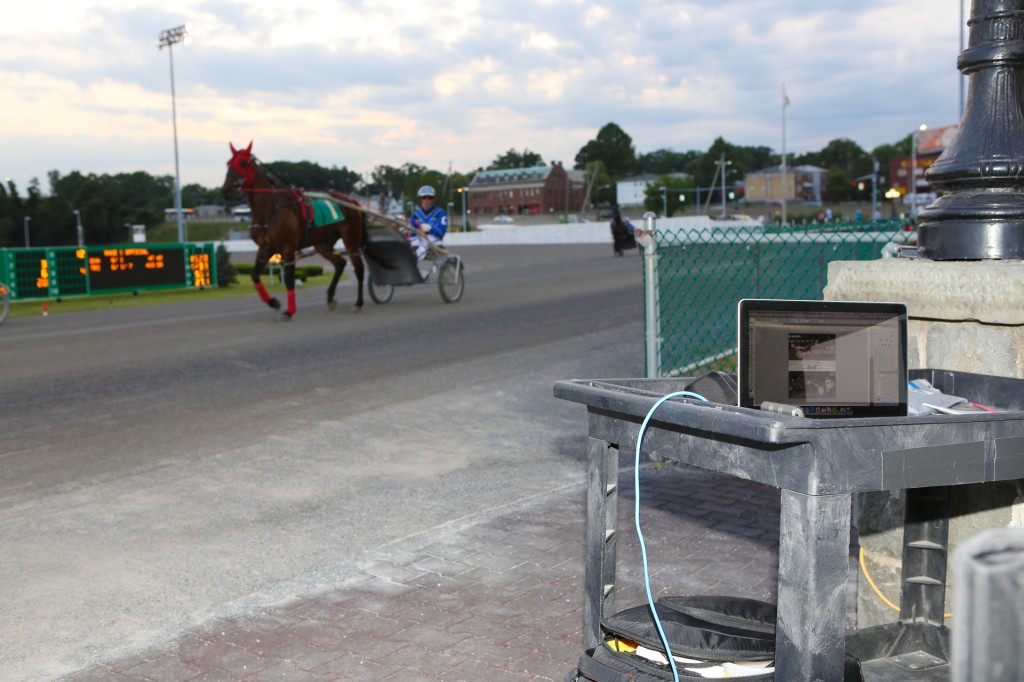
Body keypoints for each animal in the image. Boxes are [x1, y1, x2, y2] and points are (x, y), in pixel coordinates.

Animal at [222, 141, 366, 321]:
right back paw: (330, 297)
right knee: (340, 263)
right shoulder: (265, 248)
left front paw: (289, 311)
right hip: (323, 243)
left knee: (359, 268)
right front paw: (273, 302)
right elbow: (254, 275)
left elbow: (290, 278)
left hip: (350, 238)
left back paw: (358, 303)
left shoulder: (288, 248)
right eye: (228, 163)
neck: (271, 210)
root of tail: (352, 201)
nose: (226, 190)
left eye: (242, 163)